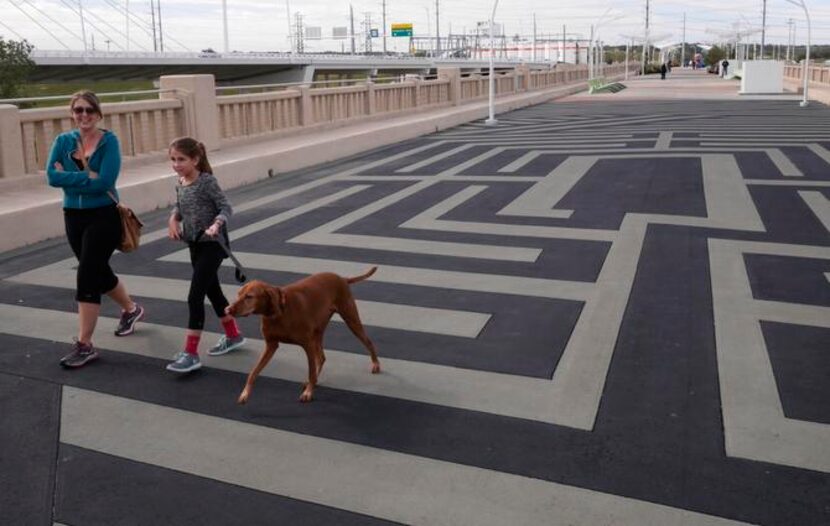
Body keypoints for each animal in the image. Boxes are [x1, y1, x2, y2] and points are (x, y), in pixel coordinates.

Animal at [228, 268, 384, 404]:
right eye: (239, 294)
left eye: (249, 297)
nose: (228, 310)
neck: (279, 313)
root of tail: (342, 278)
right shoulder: (271, 345)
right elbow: (253, 372)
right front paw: (245, 393)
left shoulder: (307, 344)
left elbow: (310, 370)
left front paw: (308, 392)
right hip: (318, 331)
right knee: (321, 357)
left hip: (351, 319)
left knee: (368, 341)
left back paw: (376, 364)